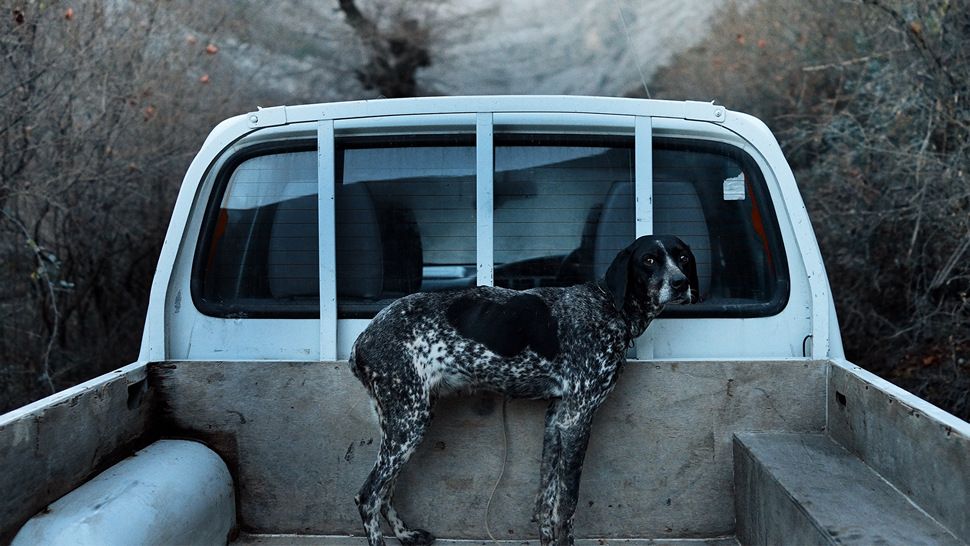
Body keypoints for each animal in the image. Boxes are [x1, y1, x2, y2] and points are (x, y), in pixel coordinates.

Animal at [348, 234, 696, 544]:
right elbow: (567, 504)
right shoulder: (577, 420)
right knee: (368, 496)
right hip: (409, 423)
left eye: (682, 257)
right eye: (649, 260)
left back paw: (405, 535)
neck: (609, 307)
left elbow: (546, 501)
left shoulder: (557, 418)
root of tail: (363, 338)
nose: (680, 283)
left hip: (401, 422)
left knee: (385, 491)